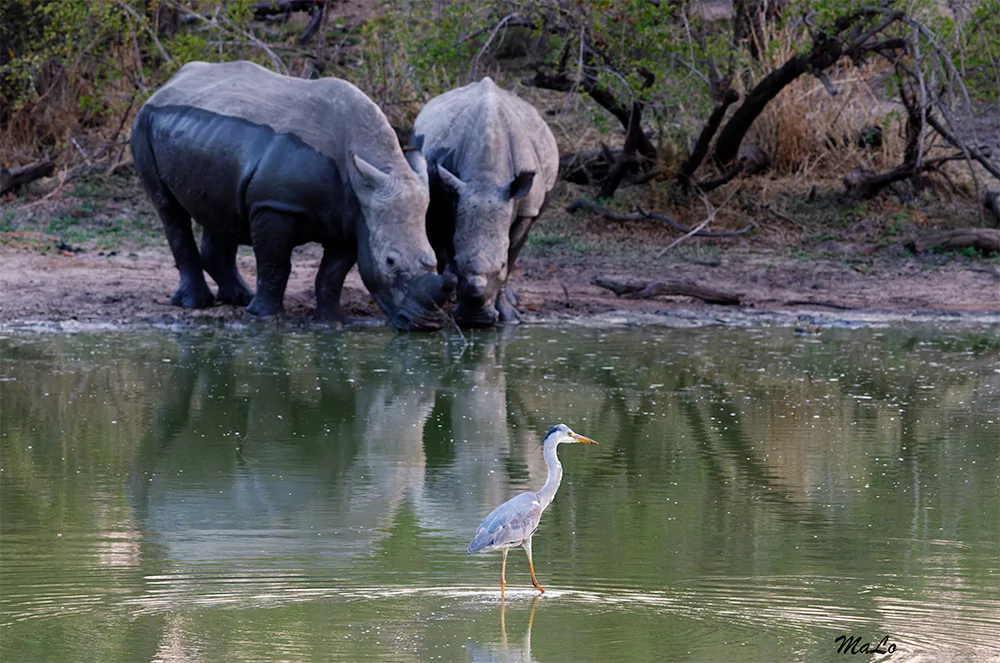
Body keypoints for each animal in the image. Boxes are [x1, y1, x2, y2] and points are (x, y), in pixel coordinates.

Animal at [130, 60, 455, 330]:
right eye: (390, 262)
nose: (425, 326)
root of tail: (167, 84)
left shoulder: (355, 218)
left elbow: (333, 273)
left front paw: (333, 323)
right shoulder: (275, 205)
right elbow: (276, 263)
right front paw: (265, 317)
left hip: (208, 137)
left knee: (220, 211)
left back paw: (238, 297)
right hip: (144, 121)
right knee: (169, 208)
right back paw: (197, 303)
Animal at [412, 77, 559, 326]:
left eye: (499, 267)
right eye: (459, 264)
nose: (475, 320)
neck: (487, 179)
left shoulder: (527, 208)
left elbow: (512, 255)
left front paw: (509, 318)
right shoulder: (451, 194)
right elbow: (450, 242)